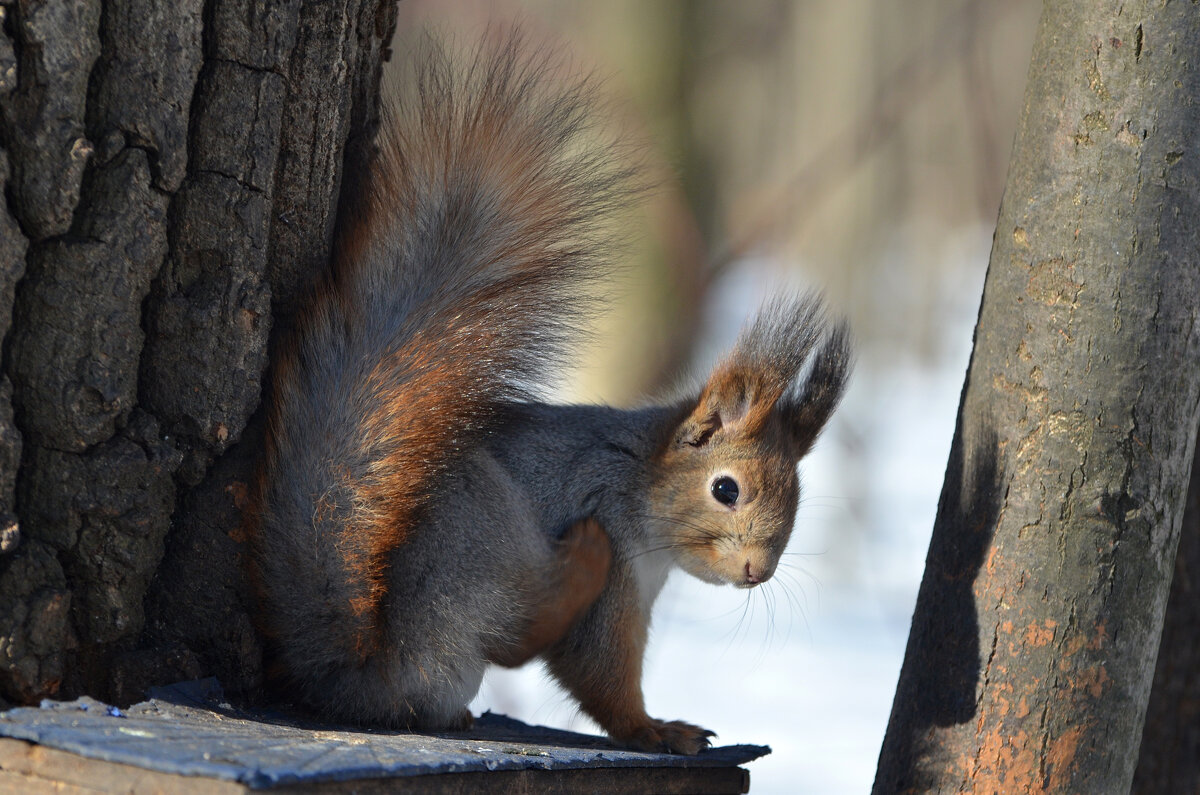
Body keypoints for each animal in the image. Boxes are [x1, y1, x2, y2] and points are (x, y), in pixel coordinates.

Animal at [243, 31, 849, 758]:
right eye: (725, 489)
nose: (758, 570)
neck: (638, 481)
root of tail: (365, 676)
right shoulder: (610, 538)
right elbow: (598, 669)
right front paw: (655, 728)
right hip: (484, 529)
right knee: (515, 633)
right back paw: (573, 567)